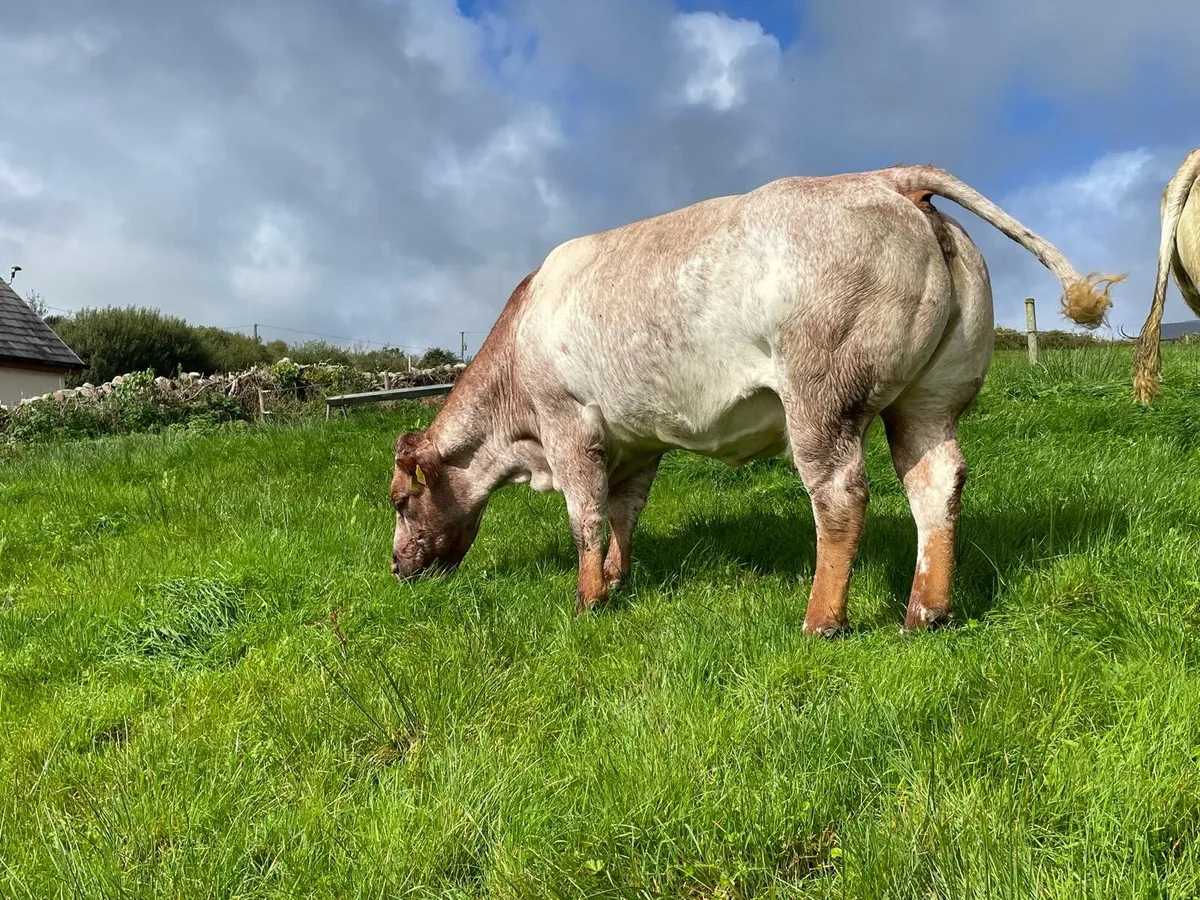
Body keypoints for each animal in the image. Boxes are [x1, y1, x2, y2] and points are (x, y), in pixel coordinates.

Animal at [390, 164, 1123, 636]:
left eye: (399, 502)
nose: (395, 567)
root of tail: (889, 177)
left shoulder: (568, 421)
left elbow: (586, 517)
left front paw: (587, 602)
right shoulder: (636, 440)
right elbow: (624, 513)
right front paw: (620, 580)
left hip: (822, 396)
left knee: (840, 496)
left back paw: (822, 620)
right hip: (929, 399)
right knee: (936, 482)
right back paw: (925, 613)